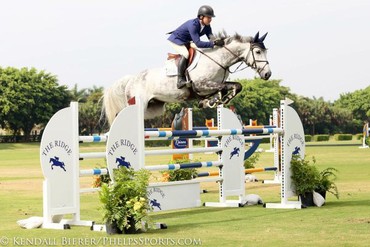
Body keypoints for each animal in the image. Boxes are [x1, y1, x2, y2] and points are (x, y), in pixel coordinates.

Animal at [102, 30, 270, 123]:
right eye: (258, 52)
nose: (268, 74)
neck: (218, 59)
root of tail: (131, 79)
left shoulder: (213, 85)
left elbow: (234, 86)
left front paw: (211, 101)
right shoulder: (201, 85)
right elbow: (225, 87)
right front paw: (215, 100)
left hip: (153, 108)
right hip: (139, 104)